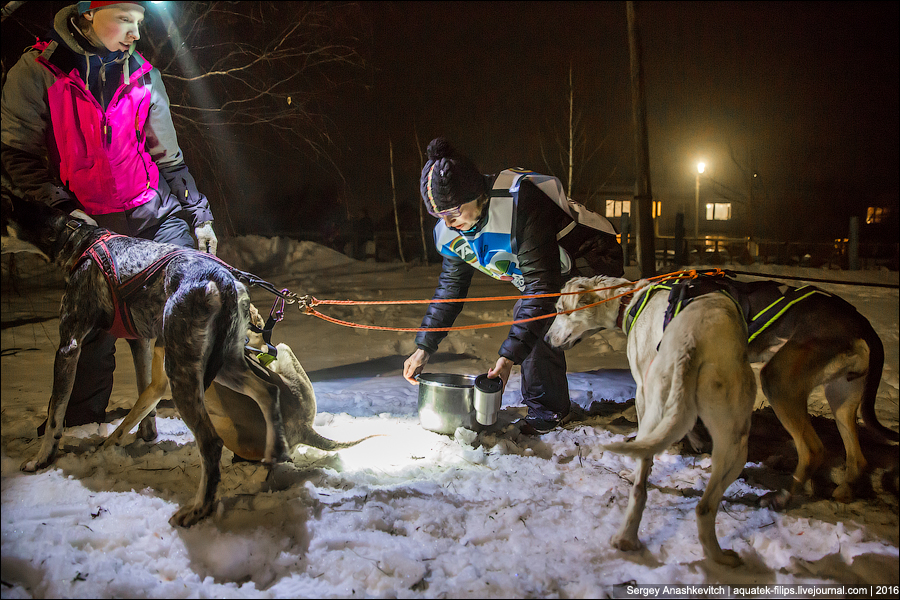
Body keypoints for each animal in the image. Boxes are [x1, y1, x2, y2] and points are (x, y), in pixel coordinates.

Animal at [544, 276, 756, 568]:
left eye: (560, 309)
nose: (545, 339)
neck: (629, 299)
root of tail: (693, 340)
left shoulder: (641, 392)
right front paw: (696, 440)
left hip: (654, 408)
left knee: (640, 486)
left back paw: (625, 537)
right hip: (736, 441)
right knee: (704, 507)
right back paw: (718, 556)